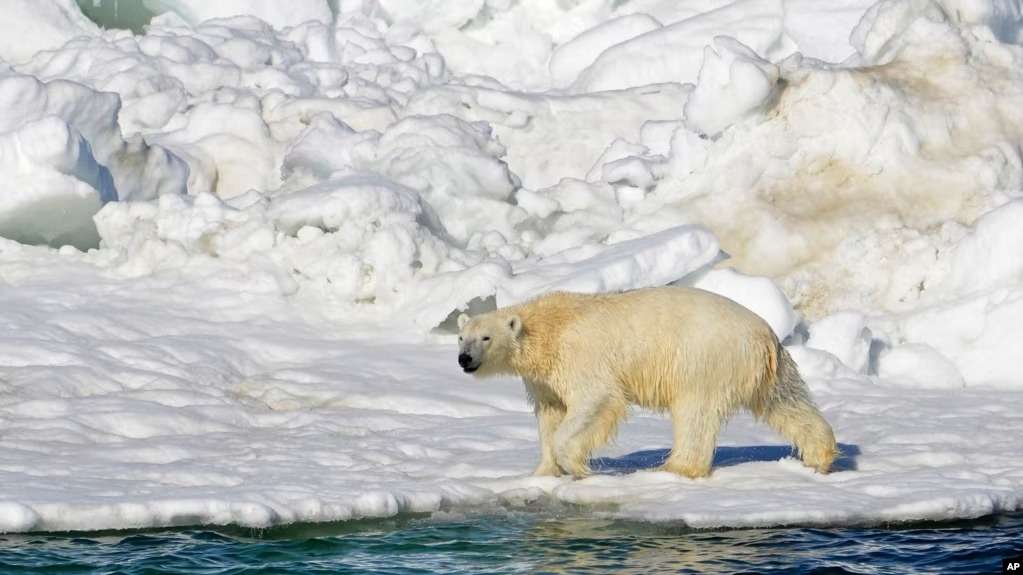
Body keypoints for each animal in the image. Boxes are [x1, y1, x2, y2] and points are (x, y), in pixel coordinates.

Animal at [456, 287, 838, 479]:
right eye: (462, 337)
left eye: (486, 337)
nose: (464, 359)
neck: (549, 327)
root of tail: (764, 335)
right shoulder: (544, 378)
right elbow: (550, 414)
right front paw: (544, 471)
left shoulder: (580, 356)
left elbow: (595, 400)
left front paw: (576, 466)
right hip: (767, 368)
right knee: (786, 402)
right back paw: (820, 456)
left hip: (703, 358)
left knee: (695, 413)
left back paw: (675, 467)